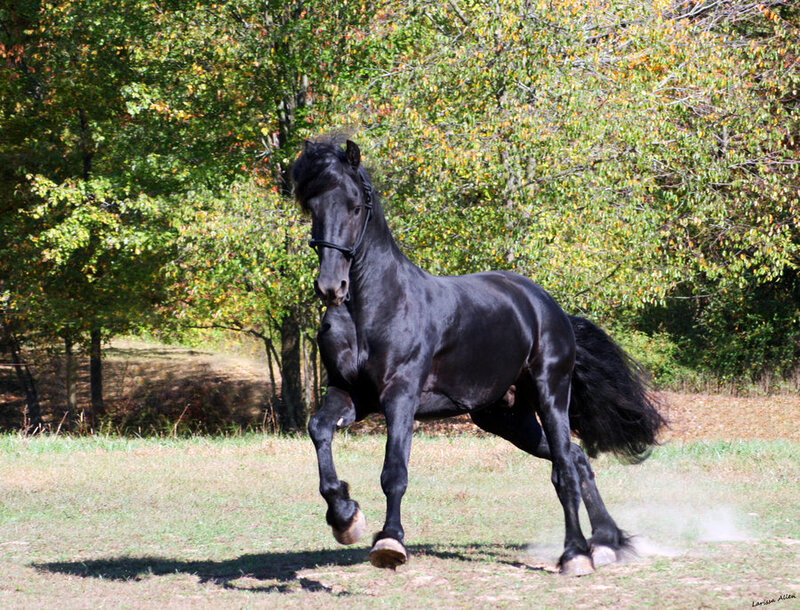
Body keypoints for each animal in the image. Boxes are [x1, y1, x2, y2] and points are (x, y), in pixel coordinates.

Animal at [291, 137, 666, 576]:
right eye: (312, 207)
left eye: (354, 206)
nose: (331, 286)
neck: (374, 307)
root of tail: (547, 307)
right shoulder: (350, 394)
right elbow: (319, 430)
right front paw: (345, 517)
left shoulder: (399, 395)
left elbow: (394, 471)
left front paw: (389, 541)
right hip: (506, 417)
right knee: (576, 458)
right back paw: (605, 543)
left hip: (550, 395)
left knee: (564, 469)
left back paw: (576, 554)